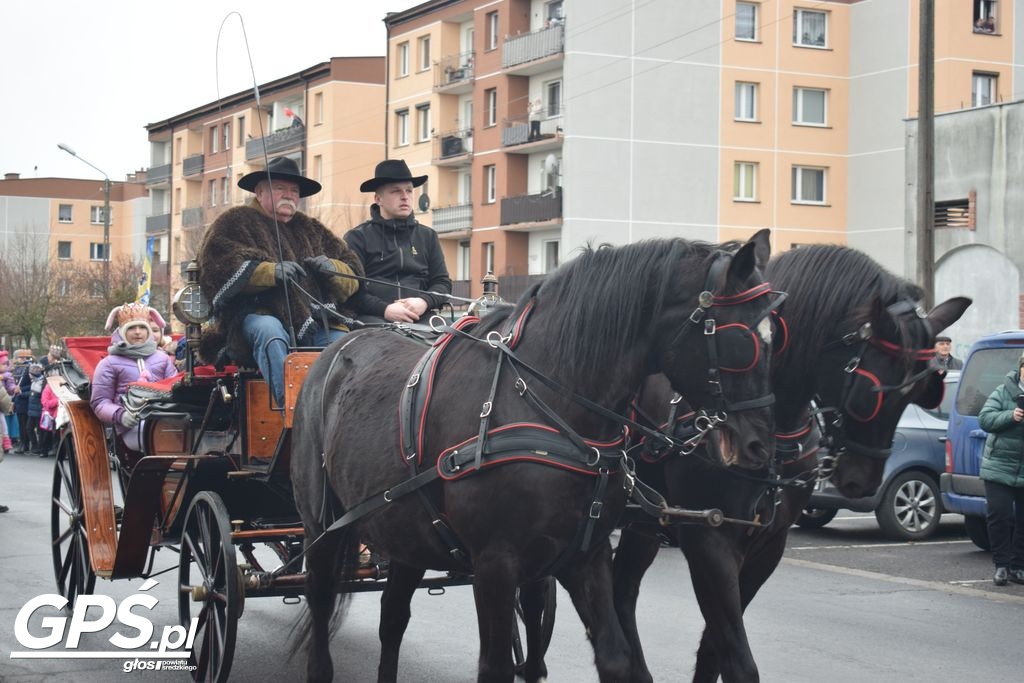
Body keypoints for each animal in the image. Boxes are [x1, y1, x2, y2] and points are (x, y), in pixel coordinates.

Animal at [288, 232, 774, 679]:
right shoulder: (495, 566)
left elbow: (614, 657)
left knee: (392, 619)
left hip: (406, 532)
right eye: (744, 337)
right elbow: (497, 667)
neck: (547, 406)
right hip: (322, 529)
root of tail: (335, 350)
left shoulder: (585, 556)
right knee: (321, 604)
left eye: (774, 336)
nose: (760, 445)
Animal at [610, 245, 970, 683]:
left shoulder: (767, 546)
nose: (862, 480)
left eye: (914, 394)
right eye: (872, 393)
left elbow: (715, 649)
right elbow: (737, 658)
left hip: (645, 524)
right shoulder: (707, 542)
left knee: (622, 588)